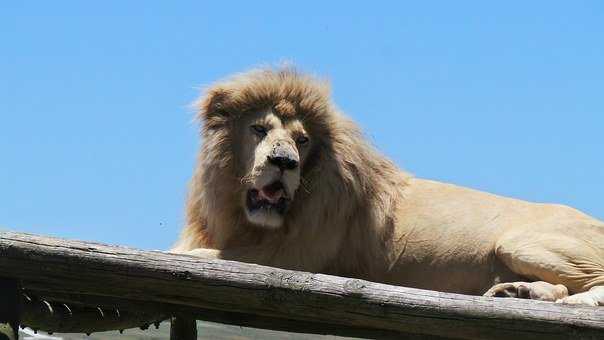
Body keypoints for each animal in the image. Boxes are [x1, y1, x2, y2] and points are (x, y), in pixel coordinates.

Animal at [171, 67, 604, 306]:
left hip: (519, 242)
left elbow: (197, 255)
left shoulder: (293, 259)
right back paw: (519, 293)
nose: (284, 162)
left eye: (302, 140)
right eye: (259, 129)